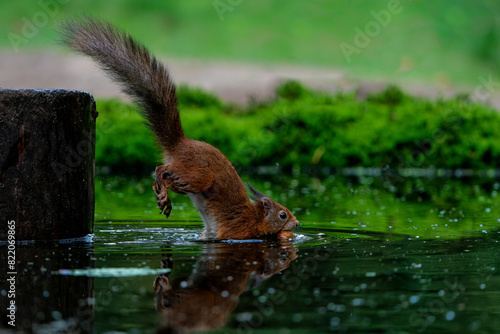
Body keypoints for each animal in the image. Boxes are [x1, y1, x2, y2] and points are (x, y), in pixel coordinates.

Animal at [60, 16, 298, 240]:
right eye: (282, 214)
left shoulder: (211, 233)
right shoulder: (236, 232)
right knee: (161, 170)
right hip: (198, 176)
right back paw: (163, 193)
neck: (255, 218)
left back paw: (160, 192)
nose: (297, 224)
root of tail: (181, 143)